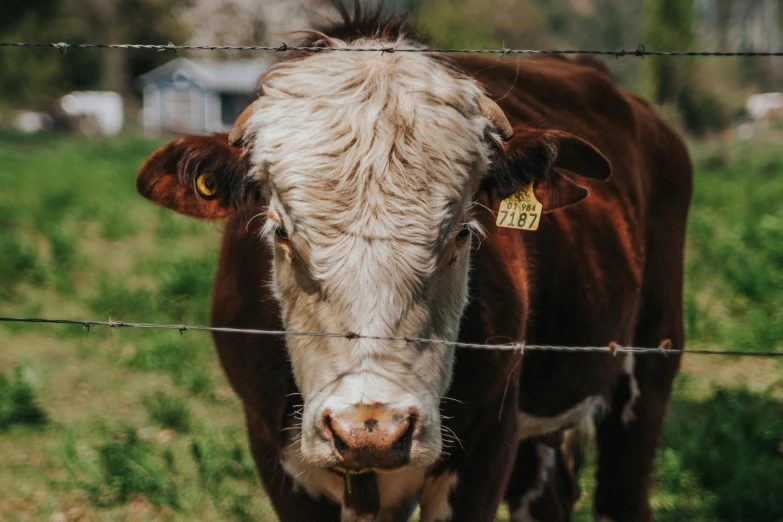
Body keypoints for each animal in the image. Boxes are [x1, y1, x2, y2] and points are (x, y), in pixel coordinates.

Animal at [135, 5, 692, 520]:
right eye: (280, 232)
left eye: (462, 232)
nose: (371, 432)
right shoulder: (276, 453)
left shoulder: (488, 444)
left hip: (650, 364)